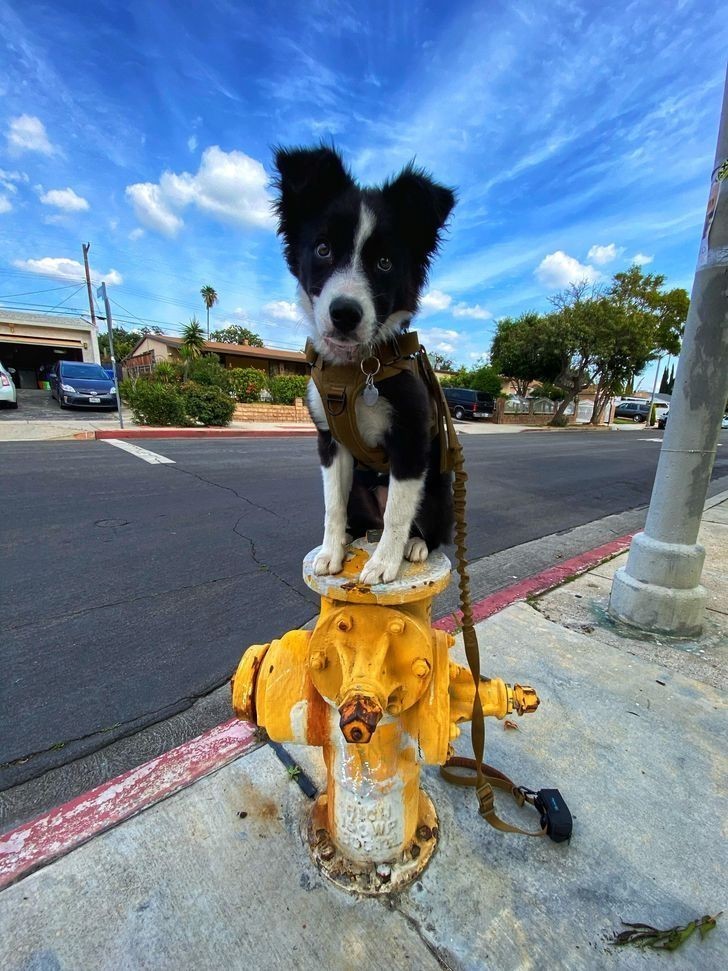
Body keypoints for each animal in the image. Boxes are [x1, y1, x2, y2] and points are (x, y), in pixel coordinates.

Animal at [272, 146, 456, 584]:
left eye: (385, 263)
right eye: (323, 249)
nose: (344, 313)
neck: (356, 369)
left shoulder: (410, 440)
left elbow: (398, 510)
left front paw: (385, 563)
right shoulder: (330, 441)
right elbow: (332, 505)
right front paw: (330, 552)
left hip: (440, 485)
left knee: (429, 525)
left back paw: (416, 545)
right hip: (360, 485)